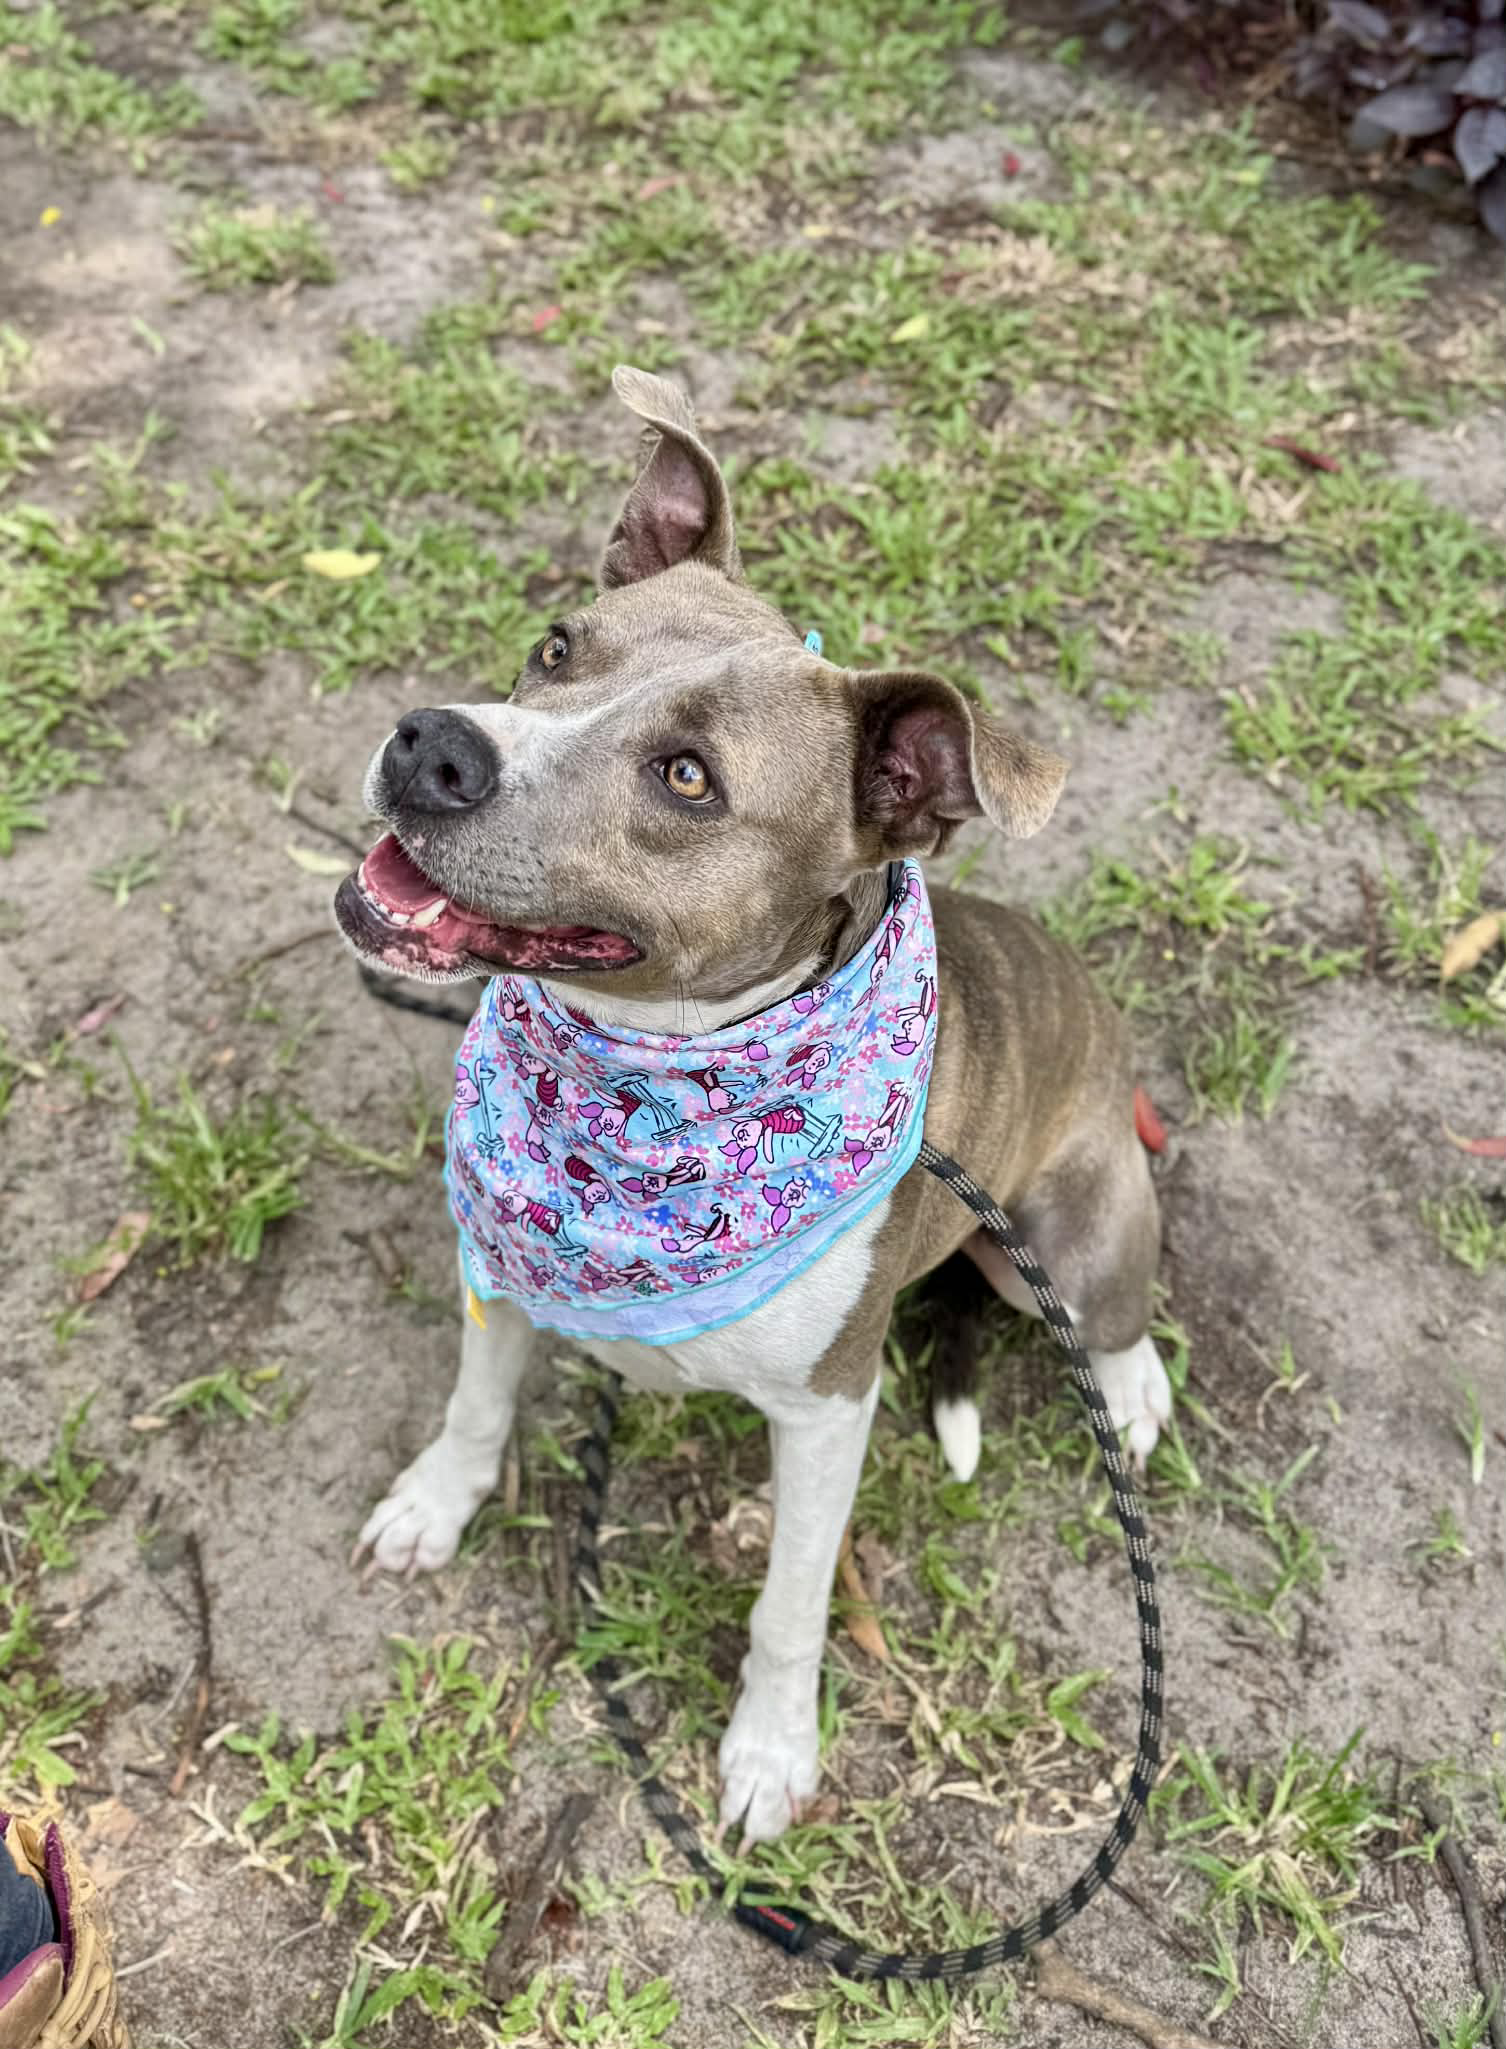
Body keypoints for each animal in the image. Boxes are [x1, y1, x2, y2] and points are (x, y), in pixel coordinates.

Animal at [335, 367, 1171, 1847]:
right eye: (558, 645)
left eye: (687, 780)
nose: (433, 743)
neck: (648, 1100)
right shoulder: (499, 1264)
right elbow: (475, 1406)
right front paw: (436, 1503)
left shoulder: (830, 1412)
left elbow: (789, 1603)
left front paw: (771, 1751)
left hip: (1069, 1236)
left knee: (1121, 1321)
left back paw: (1127, 1391)